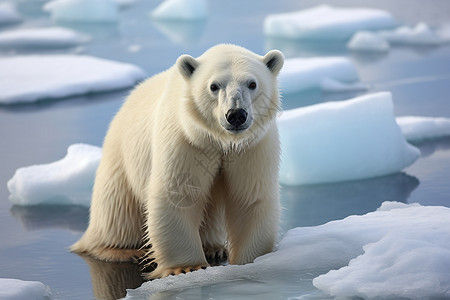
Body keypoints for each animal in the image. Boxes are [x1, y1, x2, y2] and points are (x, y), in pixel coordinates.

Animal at [71, 43, 284, 278]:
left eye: (252, 83)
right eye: (214, 86)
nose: (236, 114)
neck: (220, 140)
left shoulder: (252, 146)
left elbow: (250, 197)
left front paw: (253, 261)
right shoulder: (186, 139)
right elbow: (178, 194)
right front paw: (186, 266)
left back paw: (213, 248)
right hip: (121, 155)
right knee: (117, 207)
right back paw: (121, 250)